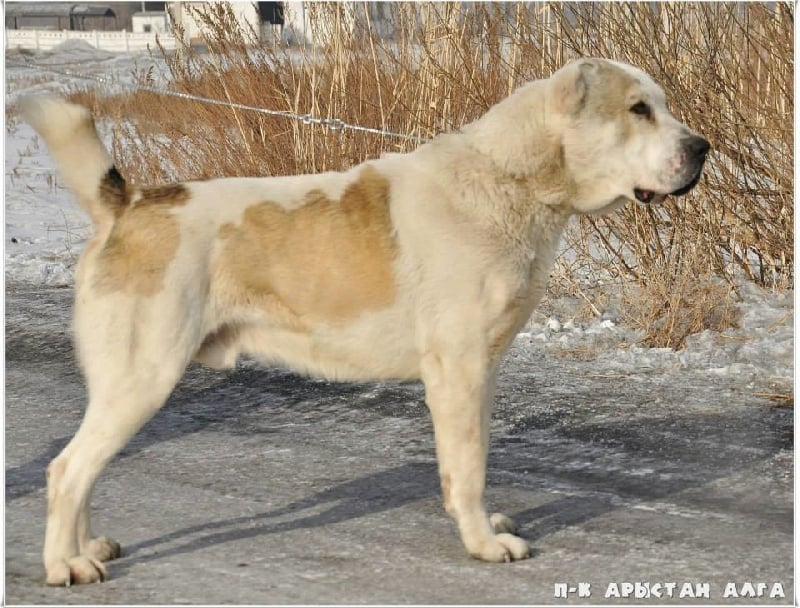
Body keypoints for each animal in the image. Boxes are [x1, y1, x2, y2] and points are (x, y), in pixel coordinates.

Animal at [21, 57, 709, 586]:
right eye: (639, 110)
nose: (702, 148)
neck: (512, 178)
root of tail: (130, 203)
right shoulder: (458, 368)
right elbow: (471, 465)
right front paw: (484, 545)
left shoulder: (481, 372)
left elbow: (470, 460)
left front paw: (481, 524)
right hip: (144, 376)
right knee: (66, 469)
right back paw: (66, 566)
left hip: (124, 384)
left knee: (82, 468)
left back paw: (87, 548)